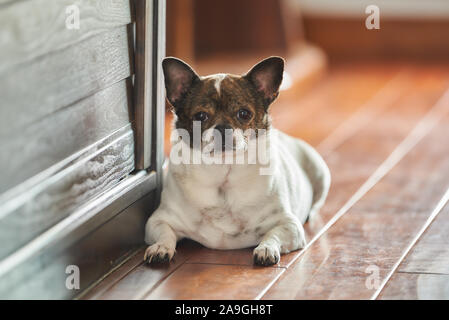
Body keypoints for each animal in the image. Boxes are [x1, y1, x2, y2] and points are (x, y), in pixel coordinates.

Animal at [144, 56, 328, 266]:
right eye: (200, 116)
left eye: (244, 114)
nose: (223, 127)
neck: (224, 173)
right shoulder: (157, 221)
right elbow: (165, 233)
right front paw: (160, 248)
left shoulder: (289, 225)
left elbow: (273, 235)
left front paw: (266, 249)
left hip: (320, 171)